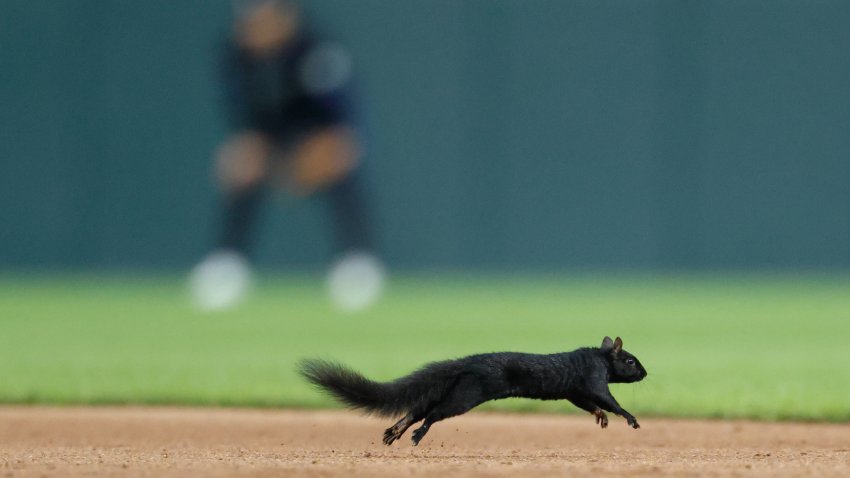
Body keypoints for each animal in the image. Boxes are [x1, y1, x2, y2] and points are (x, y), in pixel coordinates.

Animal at [298, 336, 647, 446]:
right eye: (631, 360)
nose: (645, 373)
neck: (599, 357)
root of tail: (467, 363)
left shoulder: (574, 390)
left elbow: (588, 403)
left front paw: (600, 417)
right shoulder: (593, 378)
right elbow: (608, 399)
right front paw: (630, 419)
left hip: (456, 390)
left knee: (418, 408)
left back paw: (395, 431)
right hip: (466, 396)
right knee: (431, 413)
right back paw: (416, 434)